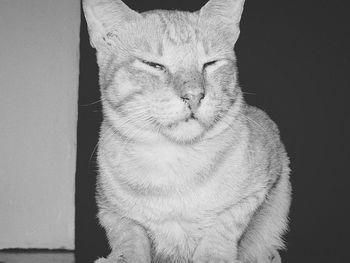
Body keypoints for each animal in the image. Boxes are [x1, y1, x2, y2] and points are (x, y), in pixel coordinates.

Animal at [83, 0, 292, 262]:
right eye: (154, 65)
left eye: (210, 64)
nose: (194, 96)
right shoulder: (110, 209)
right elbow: (128, 235)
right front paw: (123, 256)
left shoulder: (264, 184)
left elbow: (223, 226)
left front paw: (214, 255)